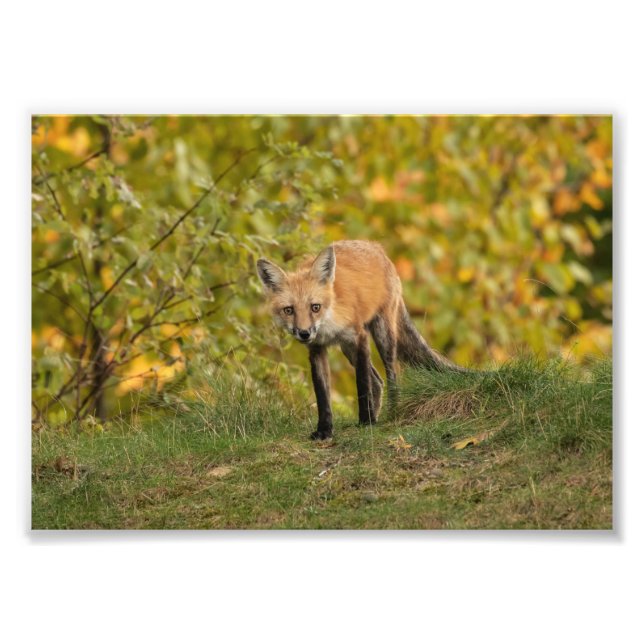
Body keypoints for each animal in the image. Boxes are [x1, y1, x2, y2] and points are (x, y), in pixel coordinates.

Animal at [257, 240, 468, 440]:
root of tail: (377, 247)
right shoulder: (317, 349)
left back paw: (391, 414)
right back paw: (377, 414)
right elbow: (323, 395)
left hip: (382, 335)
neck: (328, 324)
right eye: (289, 310)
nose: (304, 333)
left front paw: (367, 422)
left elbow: (362, 385)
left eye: (315, 307)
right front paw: (325, 430)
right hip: (348, 350)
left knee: (391, 376)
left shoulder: (359, 338)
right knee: (378, 382)